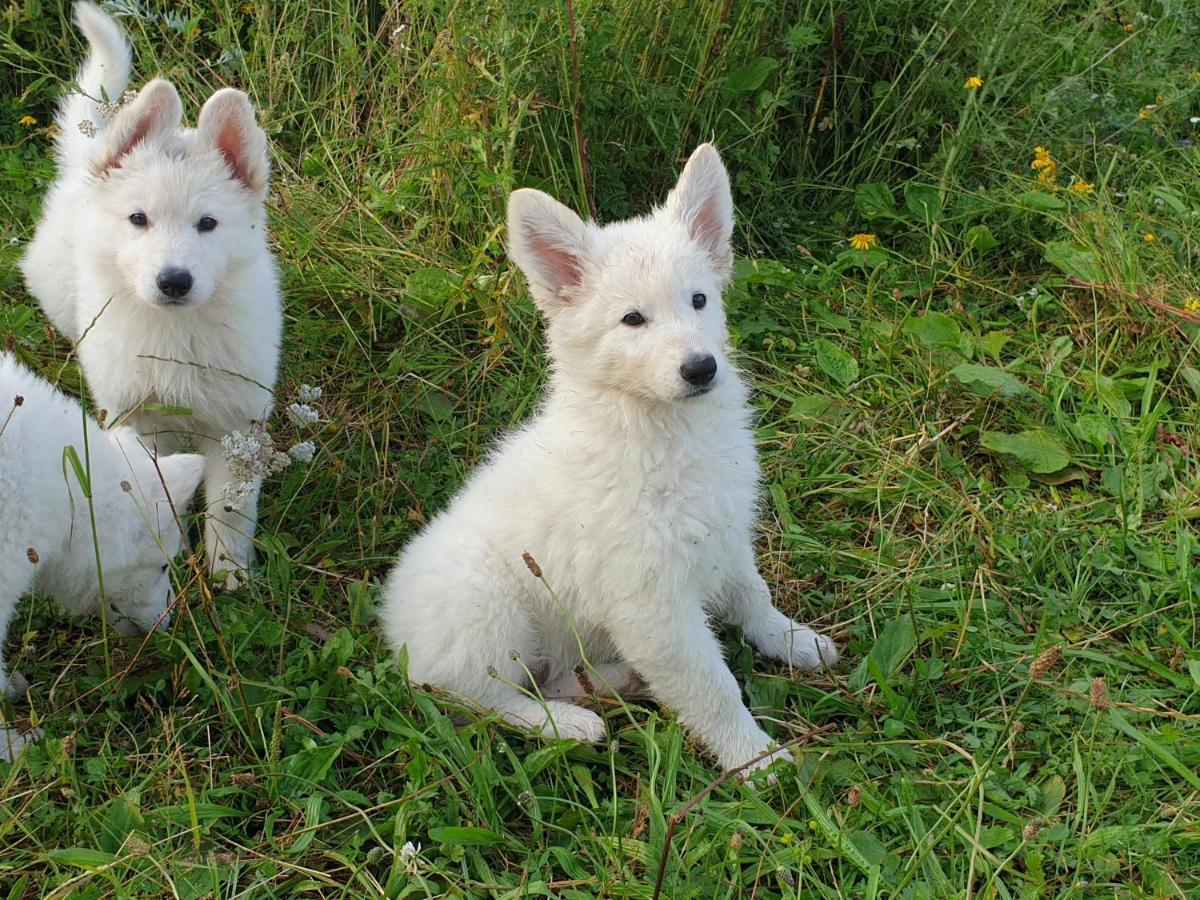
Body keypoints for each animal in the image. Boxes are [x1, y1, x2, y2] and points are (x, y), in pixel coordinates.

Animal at [379, 144, 840, 772]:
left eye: (699, 300)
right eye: (633, 320)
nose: (702, 369)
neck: (660, 429)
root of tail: (391, 628)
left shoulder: (723, 534)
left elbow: (753, 595)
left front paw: (792, 639)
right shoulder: (651, 605)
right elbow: (712, 687)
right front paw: (754, 759)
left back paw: (610, 682)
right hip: (485, 609)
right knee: (479, 697)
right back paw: (568, 725)